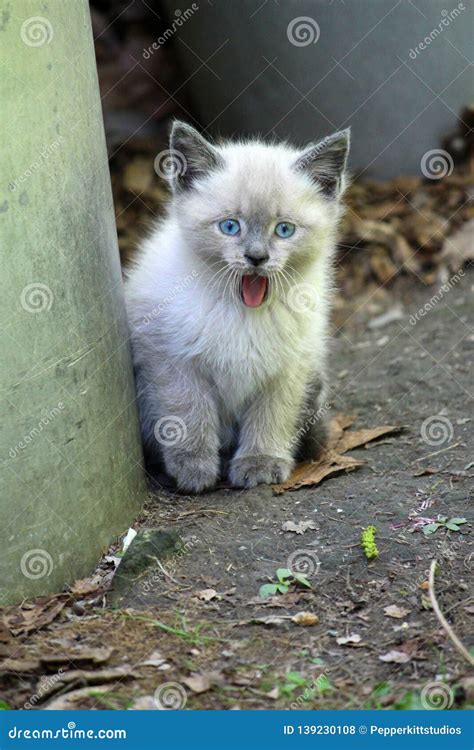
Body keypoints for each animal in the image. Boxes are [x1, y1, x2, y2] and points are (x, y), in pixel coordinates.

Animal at [124, 121, 350, 496]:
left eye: (284, 229)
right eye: (230, 226)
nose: (256, 257)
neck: (243, 312)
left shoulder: (289, 366)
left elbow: (272, 416)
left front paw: (260, 463)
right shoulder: (172, 360)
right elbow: (188, 415)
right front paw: (194, 469)